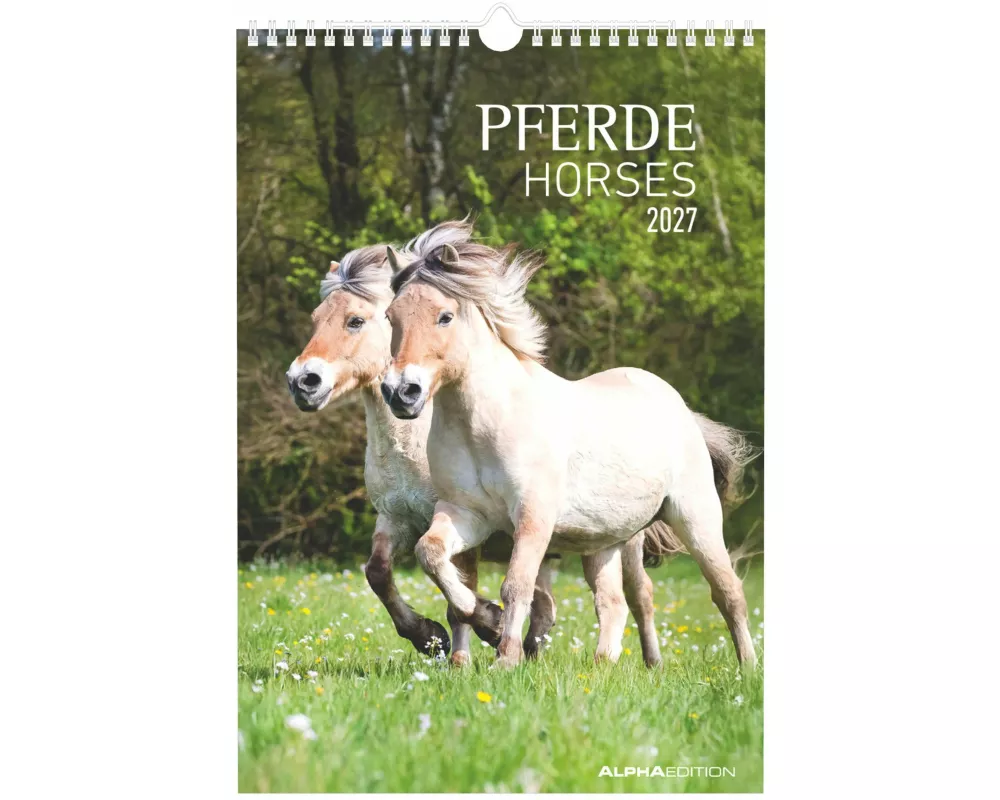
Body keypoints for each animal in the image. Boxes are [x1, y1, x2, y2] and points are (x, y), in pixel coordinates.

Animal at [286, 244, 678, 666]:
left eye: (355, 321)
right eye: (316, 319)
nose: (302, 382)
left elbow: (460, 594)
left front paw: (482, 630)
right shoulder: (397, 519)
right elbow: (378, 573)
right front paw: (431, 638)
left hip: (625, 540)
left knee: (639, 597)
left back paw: (651, 663)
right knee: (549, 606)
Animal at [381, 220, 757, 669]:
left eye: (445, 316)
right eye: (390, 316)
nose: (401, 392)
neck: (485, 426)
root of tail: (680, 408)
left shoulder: (533, 517)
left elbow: (517, 585)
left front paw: (505, 653)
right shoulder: (464, 514)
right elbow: (432, 554)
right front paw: (484, 620)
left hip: (695, 517)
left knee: (726, 592)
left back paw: (747, 667)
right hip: (605, 541)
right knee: (615, 603)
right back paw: (604, 668)